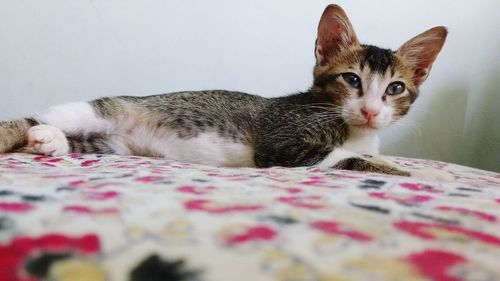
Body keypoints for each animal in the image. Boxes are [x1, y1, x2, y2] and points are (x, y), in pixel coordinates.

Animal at [0, 4, 454, 179]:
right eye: (352, 80)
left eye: (395, 88)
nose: (372, 111)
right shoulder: (283, 144)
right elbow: (345, 158)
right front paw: (408, 171)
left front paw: (390, 161)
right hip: (99, 110)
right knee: (36, 118)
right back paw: (38, 131)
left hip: (112, 147)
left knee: (74, 141)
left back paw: (51, 142)